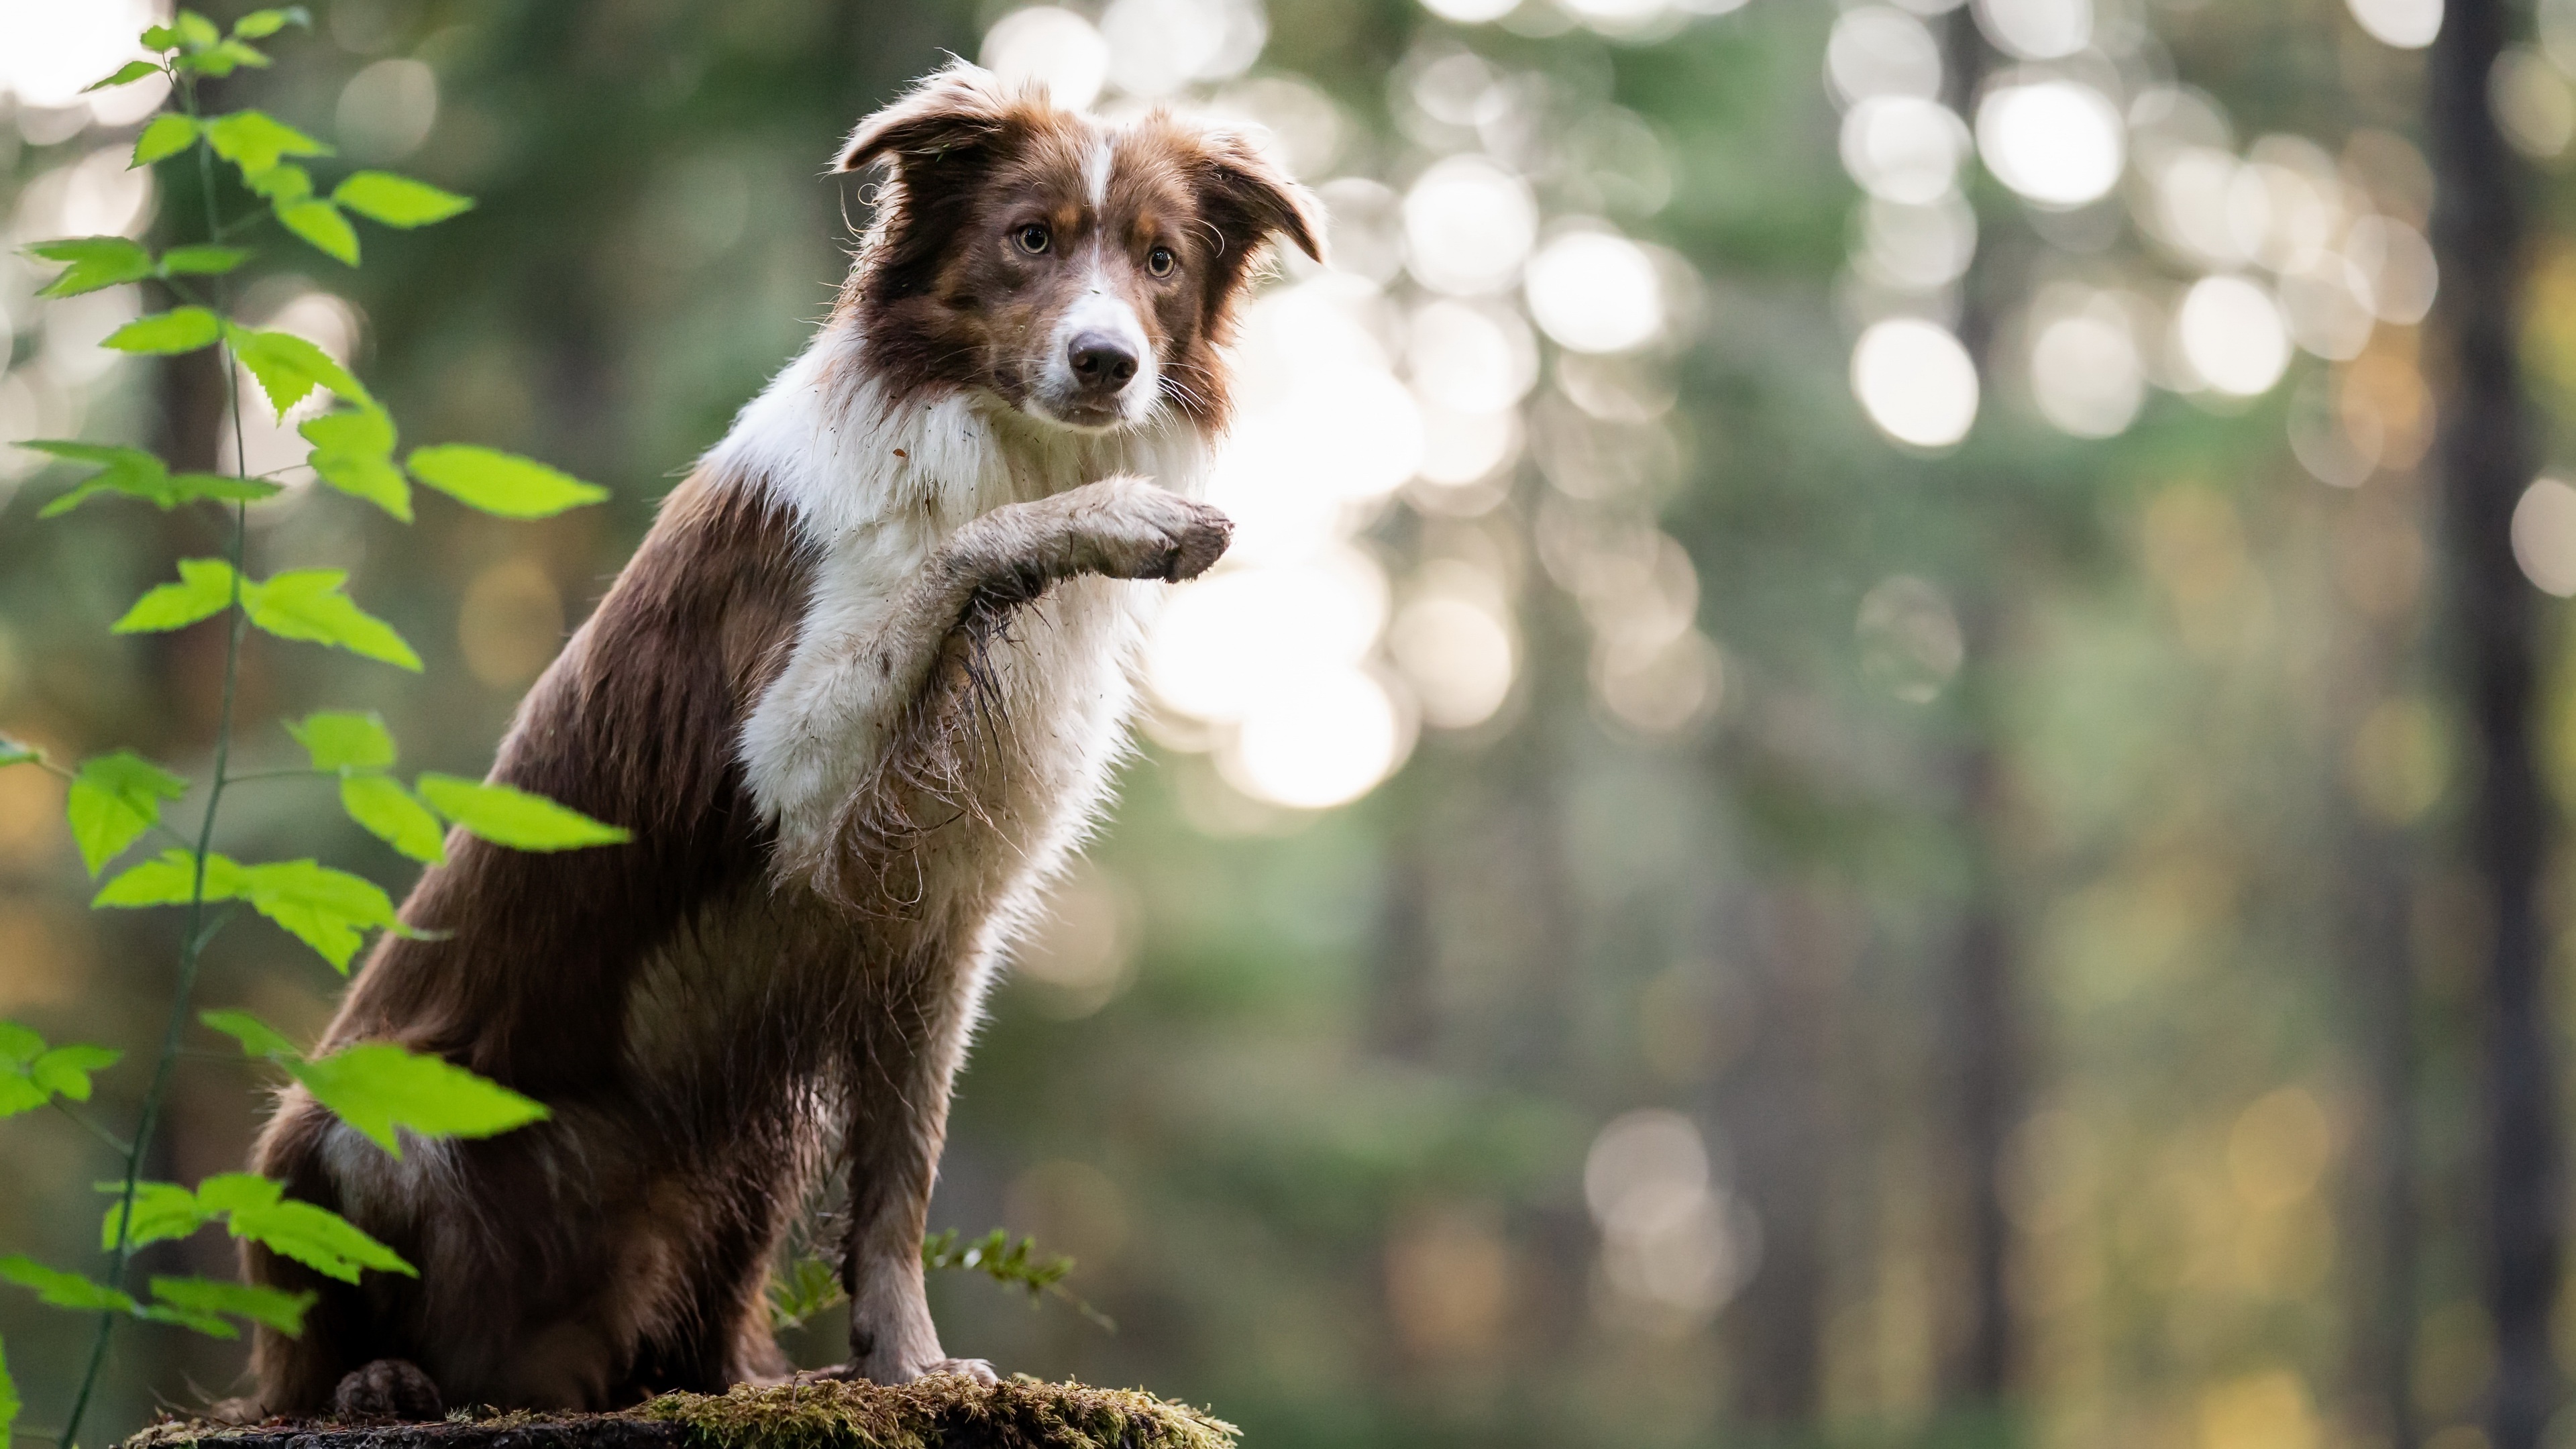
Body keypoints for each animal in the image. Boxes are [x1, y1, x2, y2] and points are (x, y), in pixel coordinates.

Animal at [237, 62, 1329, 1402]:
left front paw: (910, 1365)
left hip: (732, 1163)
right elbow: (960, 552)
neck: (996, 440)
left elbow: (901, 1183)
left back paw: (730, 1382)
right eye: (1030, 238)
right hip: (346, 1128)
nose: (1108, 362)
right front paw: (1126, 516)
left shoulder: (936, 929)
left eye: (1162, 260)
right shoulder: (784, 767)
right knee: (303, 1347)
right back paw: (380, 1382)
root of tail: (519, 1367)